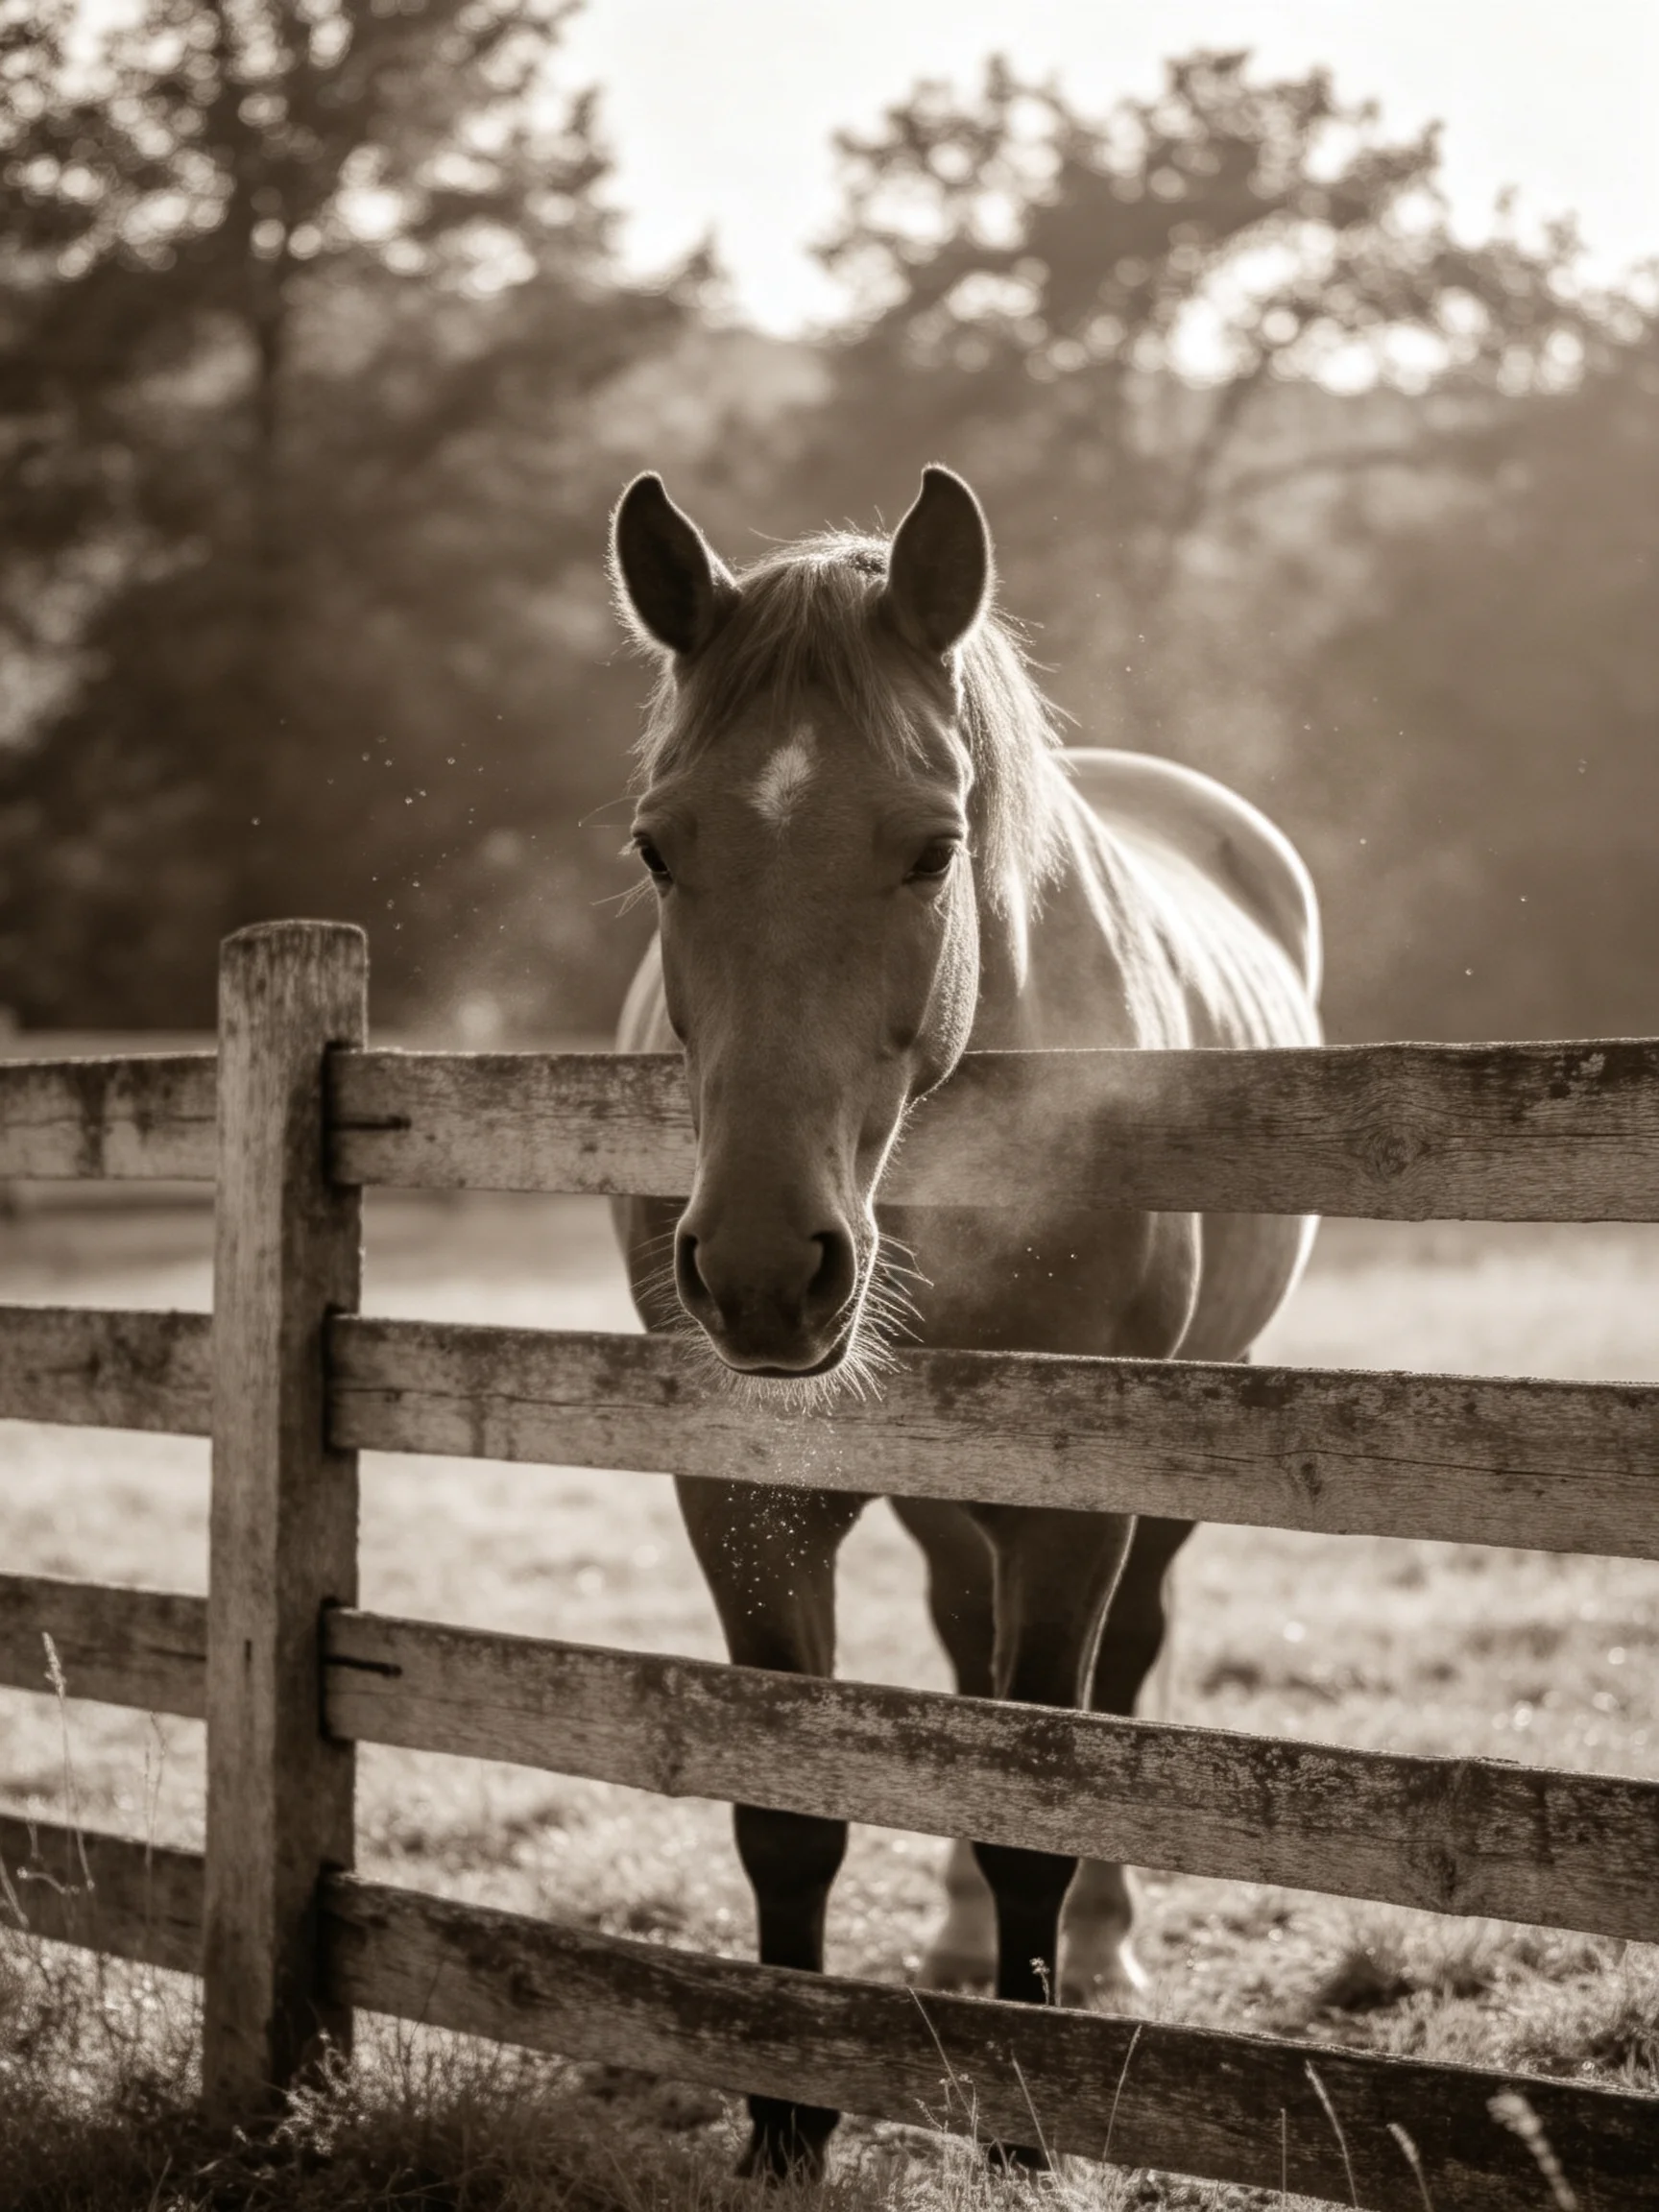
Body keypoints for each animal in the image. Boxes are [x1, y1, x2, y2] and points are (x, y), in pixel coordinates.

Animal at [608, 465, 1321, 2178]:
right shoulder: (744, 1494)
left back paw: (1101, 1963)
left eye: (932, 851)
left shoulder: (1073, 1501)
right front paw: (786, 2124)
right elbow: (790, 1810)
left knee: (1114, 1676)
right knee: (957, 1654)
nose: (760, 1269)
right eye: (659, 849)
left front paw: (1023, 2127)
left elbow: (1036, 1796)